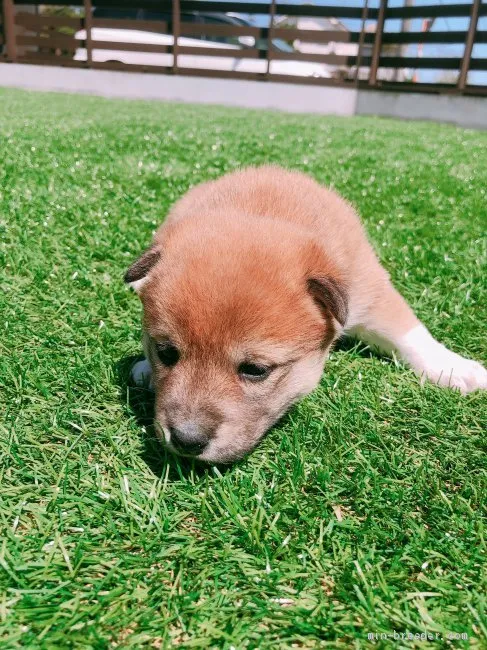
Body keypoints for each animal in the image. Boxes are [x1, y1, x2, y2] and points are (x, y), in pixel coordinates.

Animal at [127, 166, 487, 460]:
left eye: (255, 370)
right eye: (166, 352)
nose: (186, 441)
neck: (263, 211)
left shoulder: (371, 292)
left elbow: (411, 334)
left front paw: (454, 369)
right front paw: (147, 367)